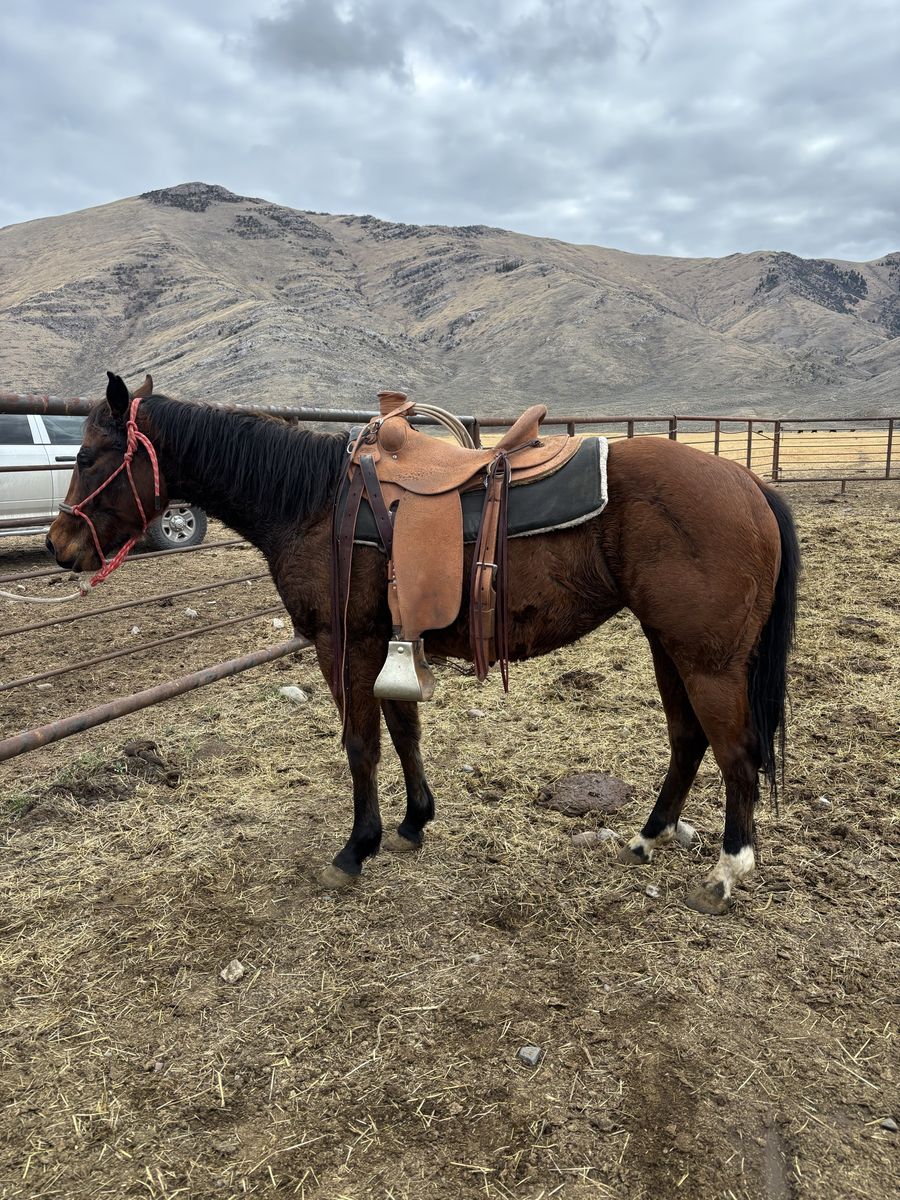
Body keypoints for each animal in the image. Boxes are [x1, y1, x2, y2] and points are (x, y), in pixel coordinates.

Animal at [47, 373, 800, 915]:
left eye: (86, 455)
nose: (59, 546)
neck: (315, 503)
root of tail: (748, 483)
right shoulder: (388, 639)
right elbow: (405, 730)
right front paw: (414, 822)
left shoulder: (343, 645)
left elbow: (362, 745)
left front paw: (356, 849)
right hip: (667, 645)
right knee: (688, 740)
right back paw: (648, 836)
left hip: (708, 660)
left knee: (736, 755)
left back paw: (726, 872)